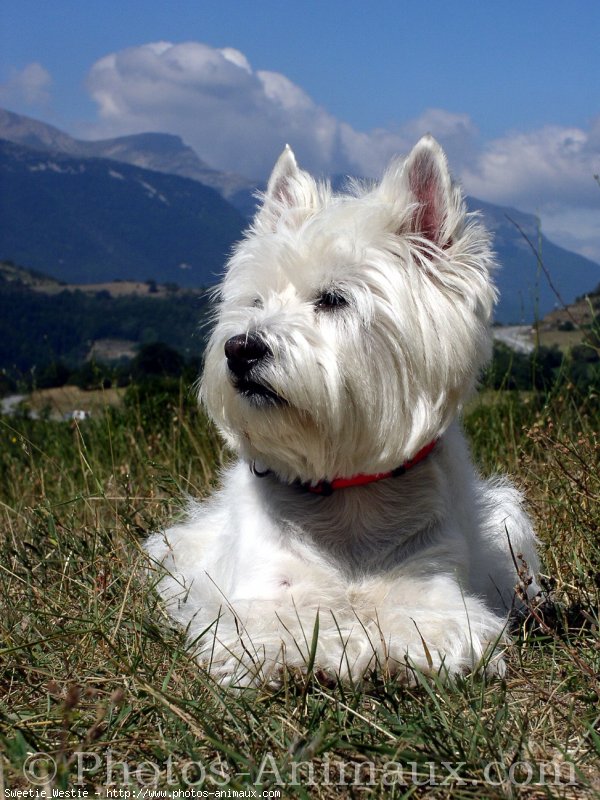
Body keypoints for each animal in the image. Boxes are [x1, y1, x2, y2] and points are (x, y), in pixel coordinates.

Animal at [146, 134, 540, 684]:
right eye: (255, 301)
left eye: (333, 299)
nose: (240, 349)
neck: (347, 496)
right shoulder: (266, 591)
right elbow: (287, 624)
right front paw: (335, 651)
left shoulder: (436, 586)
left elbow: (426, 622)